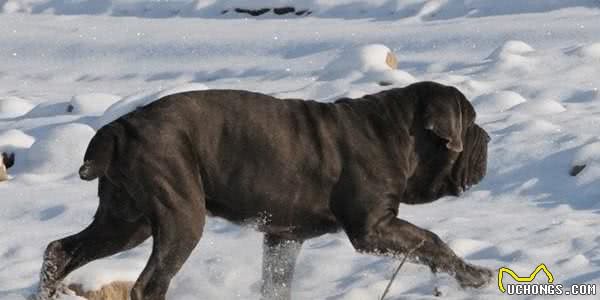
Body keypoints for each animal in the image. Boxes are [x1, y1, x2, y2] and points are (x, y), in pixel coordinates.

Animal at [36, 81, 492, 300]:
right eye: (470, 124)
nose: (487, 137)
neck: (398, 132)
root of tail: (119, 127)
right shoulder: (374, 226)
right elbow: (431, 241)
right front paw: (474, 276)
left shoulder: (282, 239)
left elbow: (276, 283)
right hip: (180, 215)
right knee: (149, 283)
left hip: (124, 220)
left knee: (61, 250)